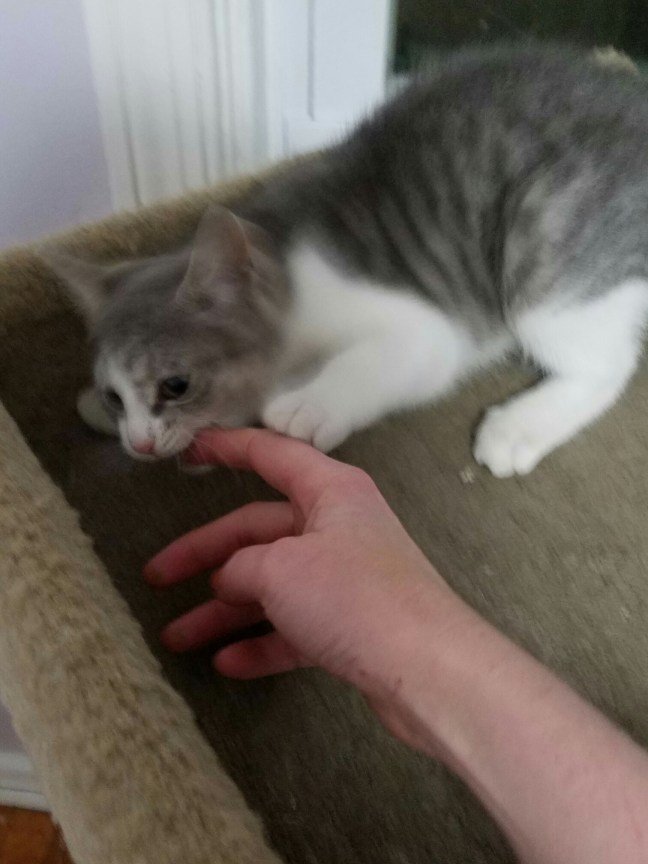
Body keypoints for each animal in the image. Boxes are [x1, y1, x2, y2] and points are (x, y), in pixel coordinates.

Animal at [44, 43, 648, 477]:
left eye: (176, 385)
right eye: (116, 396)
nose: (140, 443)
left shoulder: (430, 330)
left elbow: (384, 358)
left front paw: (313, 406)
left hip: (546, 245)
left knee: (607, 365)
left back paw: (519, 428)